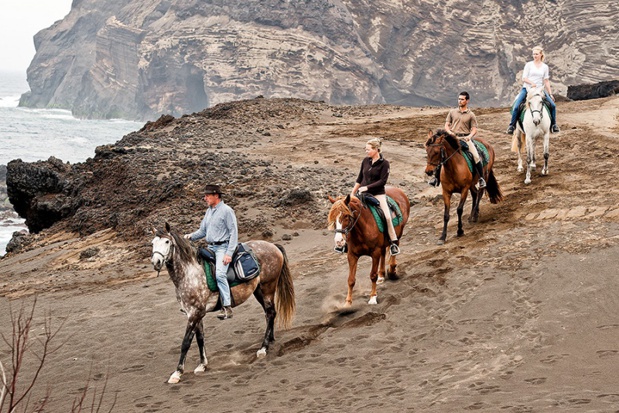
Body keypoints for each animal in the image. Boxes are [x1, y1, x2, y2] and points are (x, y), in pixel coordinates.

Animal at [151, 222, 296, 384]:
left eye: (167, 242)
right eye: (152, 243)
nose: (156, 262)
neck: (190, 274)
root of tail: (273, 246)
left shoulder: (195, 314)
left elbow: (186, 343)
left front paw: (177, 373)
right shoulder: (196, 314)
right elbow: (200, 339)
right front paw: (202, 365)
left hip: (267, 288)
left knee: (270, 313)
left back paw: (263, 348)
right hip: (258, 291)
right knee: (269, 313)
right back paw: (270, 340)